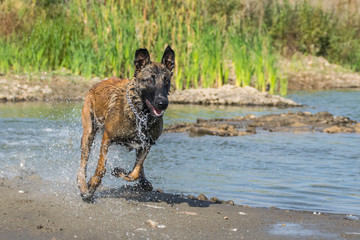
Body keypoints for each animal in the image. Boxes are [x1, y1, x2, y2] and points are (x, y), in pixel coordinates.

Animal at [76, 46, 175, 200]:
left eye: (166, 81)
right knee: (83, 163)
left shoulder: (147, 144)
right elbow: (101, 167)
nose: (162, 103)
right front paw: (91, 185)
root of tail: (96, 85)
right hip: (89, 133)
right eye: (149, 81)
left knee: (139, 169)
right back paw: (82, 185)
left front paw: (120, 172)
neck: (140, 114)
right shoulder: (107, 138)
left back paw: (144, 182)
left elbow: (135, 172)